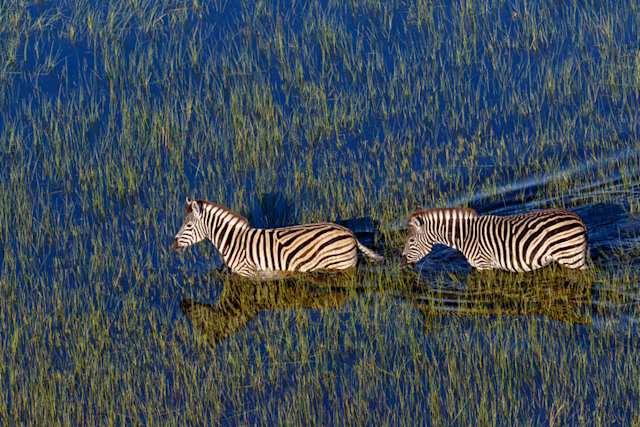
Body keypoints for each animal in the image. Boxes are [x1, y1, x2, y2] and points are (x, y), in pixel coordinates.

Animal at [172, 198, 383, 280]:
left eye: (188, 226)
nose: (173, 244)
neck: (234, 242)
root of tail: (350, 234)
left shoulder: (248, 273)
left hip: (340, 265)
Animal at [402, 208, 588, 272]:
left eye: (411, 242)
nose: (402, 262)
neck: (465, 236)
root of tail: (579, 220)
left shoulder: (484, 265)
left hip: (571, 257)